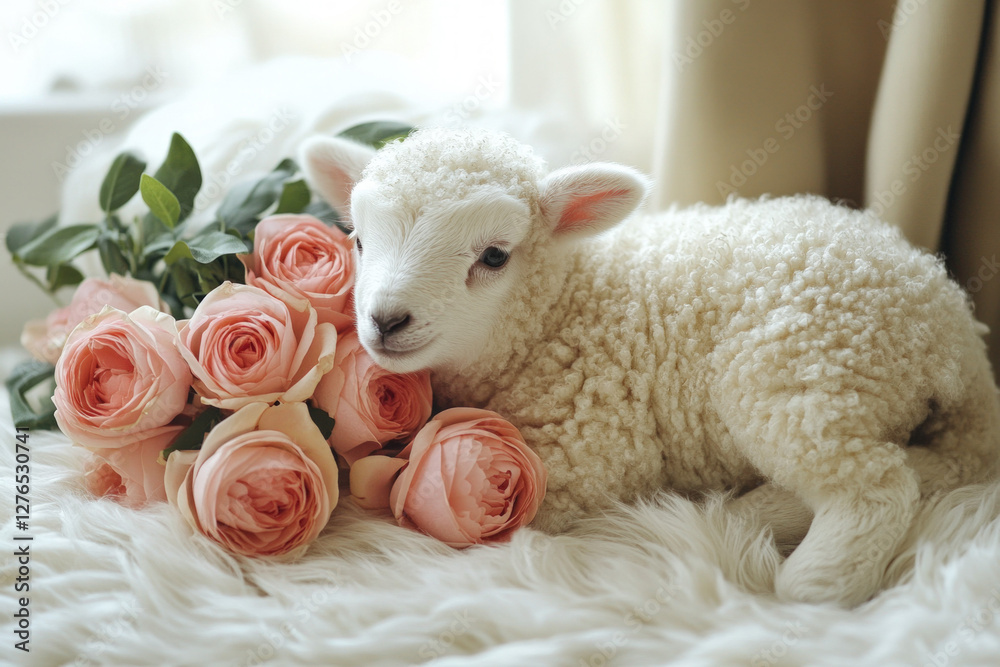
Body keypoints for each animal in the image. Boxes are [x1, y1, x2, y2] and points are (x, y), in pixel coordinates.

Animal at [300, 127, 1000, 606]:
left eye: (494, 256)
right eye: (358, 239)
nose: (385, 320)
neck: (565, 304)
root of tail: (953, 329)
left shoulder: (583, 455)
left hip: (801, 370)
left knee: (876, 484)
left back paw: (808, 580)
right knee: (932, 467)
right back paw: (752, 514)